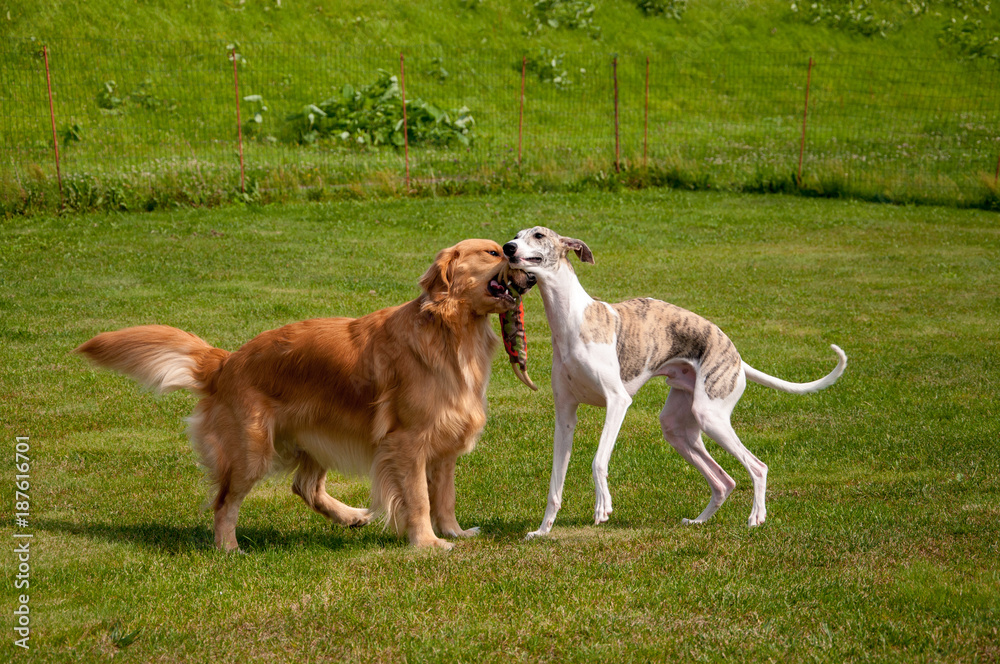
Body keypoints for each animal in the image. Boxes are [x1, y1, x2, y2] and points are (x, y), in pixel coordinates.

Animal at [504, 226, 848, 536]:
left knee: (757, 467)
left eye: (538, 235)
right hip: (679, 424)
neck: (571, 320)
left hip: (710, 416)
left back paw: (756, 518)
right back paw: (698, 521)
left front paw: (603, 506)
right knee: (724, 480)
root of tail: (736, 356)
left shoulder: (617, 401)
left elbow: (598, 459)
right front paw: (543, 530)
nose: (507, 247)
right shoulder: (565, 414)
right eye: (517, 235)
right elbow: (555, 483)